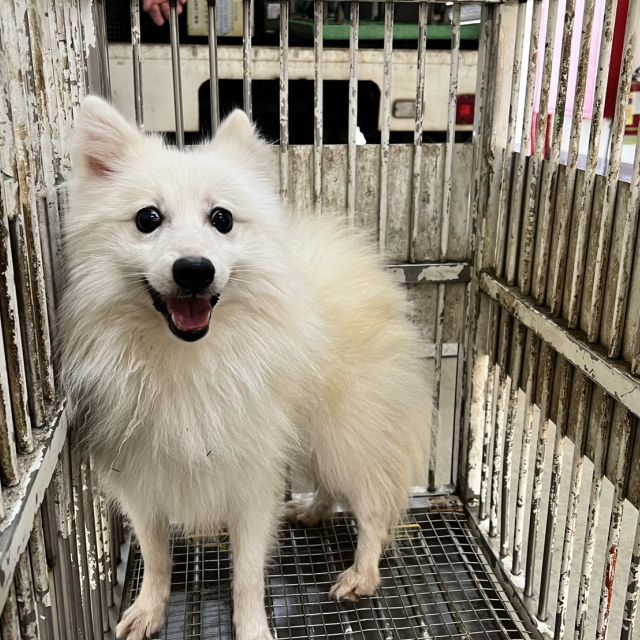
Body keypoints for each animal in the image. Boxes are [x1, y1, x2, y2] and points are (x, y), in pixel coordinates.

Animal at [60, 95, 430, 640]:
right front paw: (149, 608)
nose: (195, 269)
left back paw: (361, 573)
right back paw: (313, 510)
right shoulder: (142, 476)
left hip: (345, 431)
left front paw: (253, 626)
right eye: (147, 218)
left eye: (222, 219)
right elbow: (156, 556)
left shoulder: (252, 478)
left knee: (371, 504)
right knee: (328, 483)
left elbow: (248, 575)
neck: (187, 359)